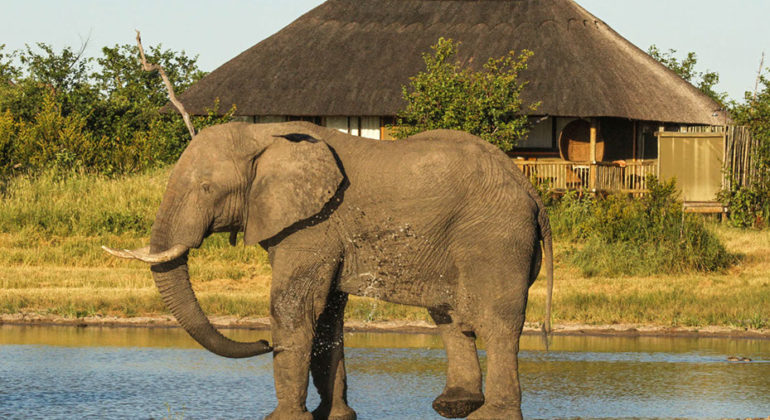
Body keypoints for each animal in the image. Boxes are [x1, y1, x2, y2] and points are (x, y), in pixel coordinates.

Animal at [105, 121, 552, 420]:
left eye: (206, 189)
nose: (263, 344)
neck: (262, 133)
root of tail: (530, 190)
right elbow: (327, 315)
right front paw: (334, 416)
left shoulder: (313, 224)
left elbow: (294, 306)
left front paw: (282, 419)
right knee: (450, 318)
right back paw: (455, 405)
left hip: (496, 236)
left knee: (495, 321)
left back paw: (491, 414)